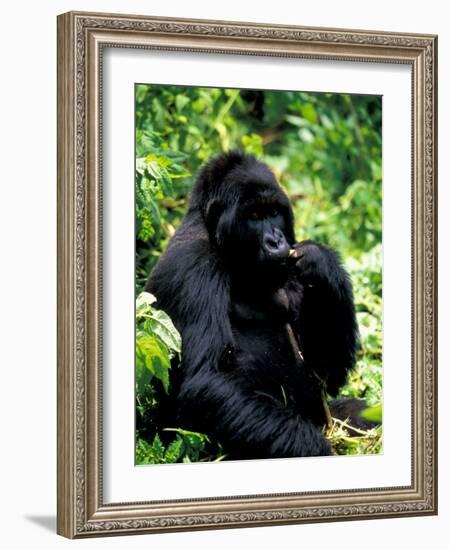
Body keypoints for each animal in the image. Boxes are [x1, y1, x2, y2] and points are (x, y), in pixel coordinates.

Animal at [147, 152, 360, 462]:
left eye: (274, 213)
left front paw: (321, 263)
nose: (275, 240)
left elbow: (325, 371)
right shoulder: (192, 268)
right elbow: (207, 380)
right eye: (254, 216)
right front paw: (316, 449)